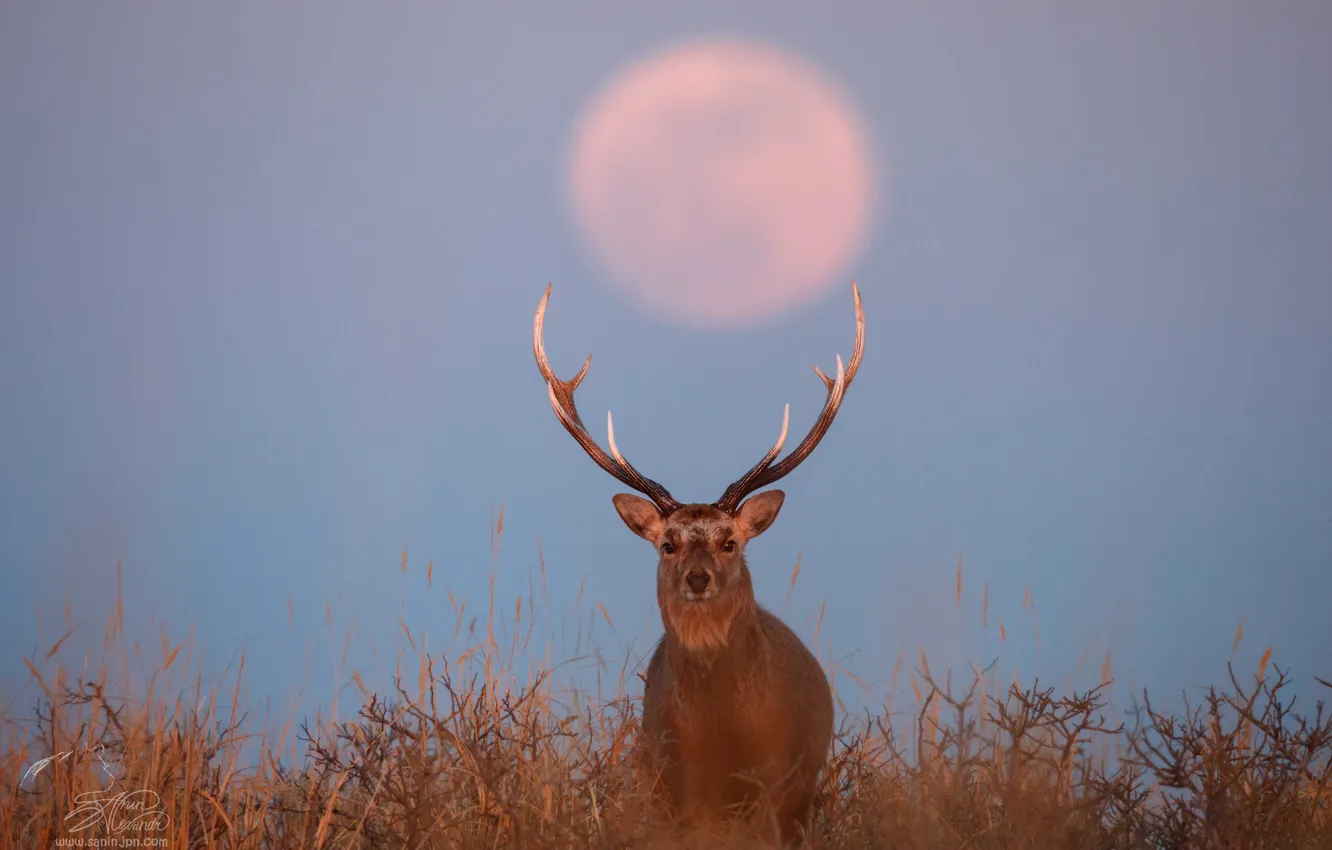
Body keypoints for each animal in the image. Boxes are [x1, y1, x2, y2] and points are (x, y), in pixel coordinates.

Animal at [532, 282, 864, 845]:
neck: (721, 727)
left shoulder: (775, 775)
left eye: (730, 541)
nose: (697, 576)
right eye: (668, 544)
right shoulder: (675, 776)